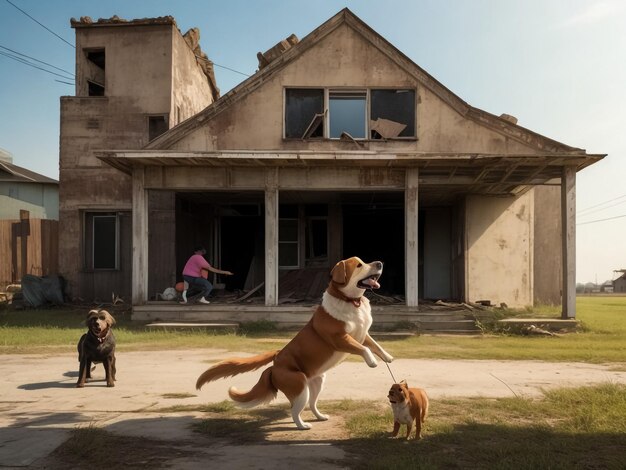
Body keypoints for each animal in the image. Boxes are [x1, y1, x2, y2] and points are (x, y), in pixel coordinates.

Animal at [195, 258, 392, 430]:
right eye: (359, 265)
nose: (380, 263)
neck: (350, 301)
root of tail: (275, 363)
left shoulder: (363, 334)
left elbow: (375, 345)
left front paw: (388, 358)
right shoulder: (340, 339)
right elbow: (364, 349)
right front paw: (372, 362)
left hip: (316, 382)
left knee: (312, 405)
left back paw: (320, 416)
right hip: (299, 387)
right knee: (294, 410)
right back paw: (302, 426)